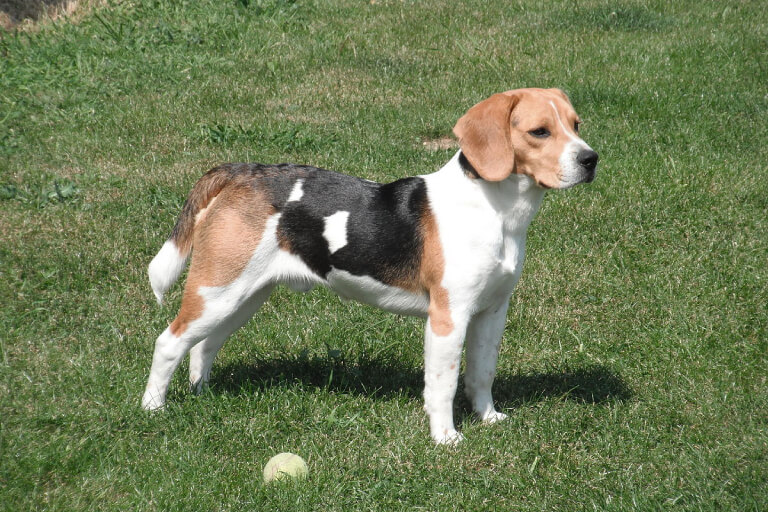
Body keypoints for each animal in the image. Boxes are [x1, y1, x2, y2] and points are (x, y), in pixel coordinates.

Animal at [142, 88, 600, 444]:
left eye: (576, 125)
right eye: (539, 131)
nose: (591, 159)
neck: (496, 209)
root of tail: (242, 173)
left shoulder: (491, 312)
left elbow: (481, 373)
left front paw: (488, 418)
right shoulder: (448, 317)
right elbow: (443, 384)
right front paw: (446, 438)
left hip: (243, 296)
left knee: (203, 346)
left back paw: (201, 394)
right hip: (218, 291)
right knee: (169, 342)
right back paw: (152, 408)